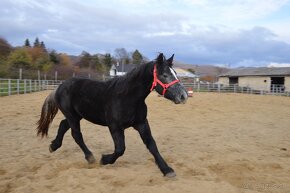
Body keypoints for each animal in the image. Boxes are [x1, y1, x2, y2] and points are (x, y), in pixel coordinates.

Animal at [36, 52, 188, 176]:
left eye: (175, 73)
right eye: (164, 75)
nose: (183, 96)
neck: (127, 97)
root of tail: (59, 87)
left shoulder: (141, 123)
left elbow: (152, 145)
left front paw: (167, 170)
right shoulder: (115, 127)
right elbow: (120, 149)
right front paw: (104, 159)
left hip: (76, 116)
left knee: (63, 125)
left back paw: (53, 146)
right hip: (72, 116)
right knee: (76, 135)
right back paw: (90, 157)